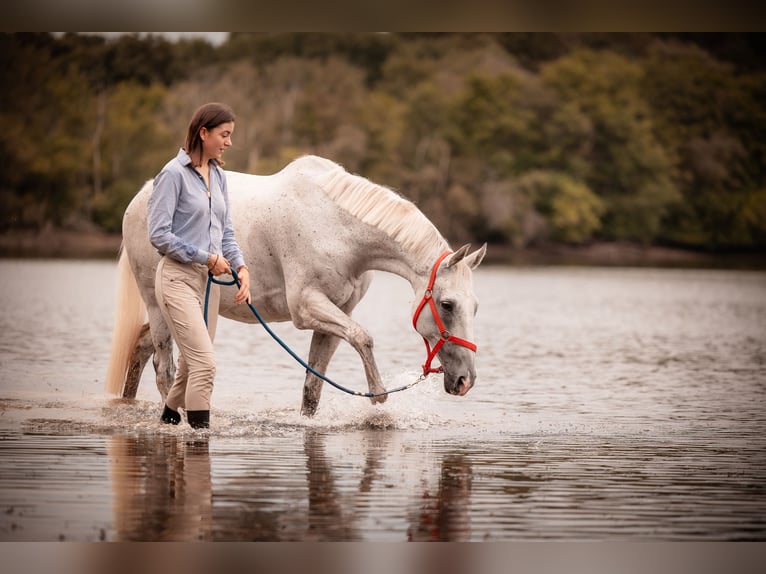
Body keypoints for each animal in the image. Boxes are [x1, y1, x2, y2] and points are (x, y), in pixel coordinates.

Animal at [104, 156, 486, 418]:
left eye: (476, 307)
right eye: (447, 304)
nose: (465, 381)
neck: (339, 229)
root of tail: (142, 197)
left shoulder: (337, 313)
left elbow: (314, 385)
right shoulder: (307, 306)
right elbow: (363, 337)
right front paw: (378, 395)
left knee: (140, 348)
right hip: (160, 305)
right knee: (164, 368)